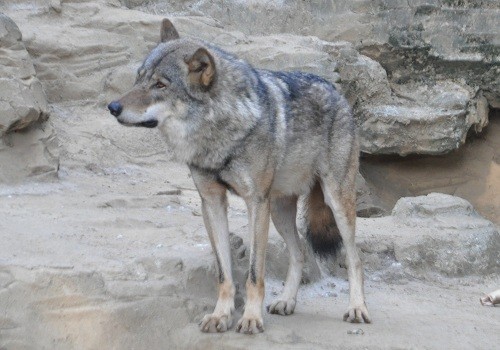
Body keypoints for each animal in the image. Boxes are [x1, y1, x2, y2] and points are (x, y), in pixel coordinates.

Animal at [106, 18, 372, 334]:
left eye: (160, 85)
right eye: (138, 79)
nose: (113, 107)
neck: (218, 132)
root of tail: (337, 91)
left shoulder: (255, 203)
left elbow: (255, 274)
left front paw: (251, 318)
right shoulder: (212, 202)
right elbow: (225, 273)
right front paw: (220, 315)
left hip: (334, 203)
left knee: (355, 259)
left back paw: (357, 308)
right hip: (279, 211)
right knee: (300, 253)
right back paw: (286, 301)